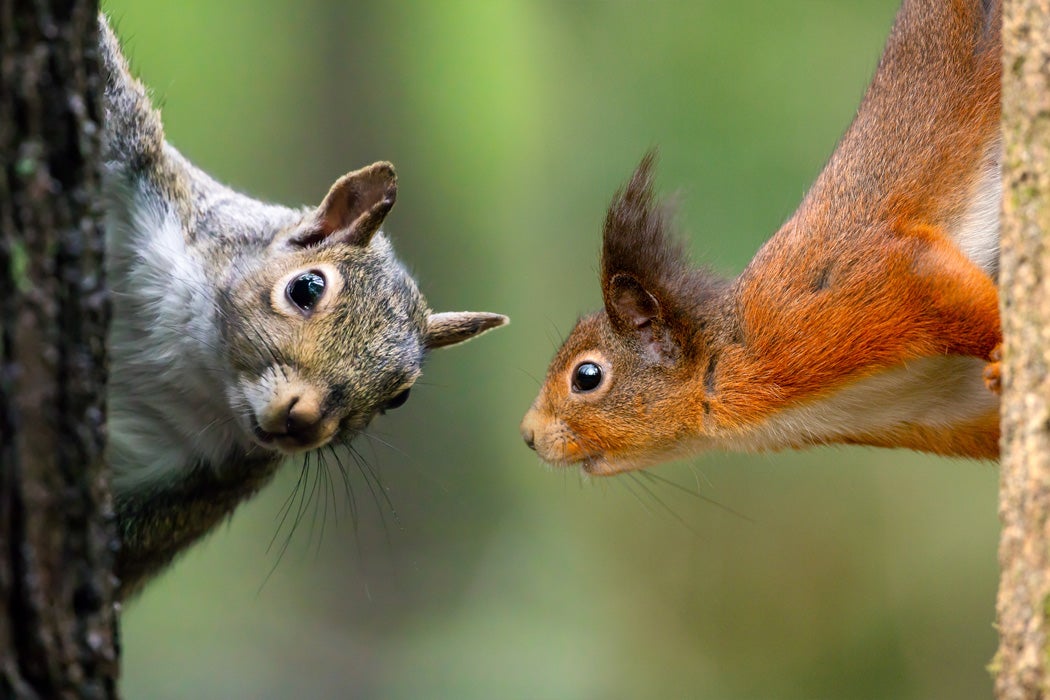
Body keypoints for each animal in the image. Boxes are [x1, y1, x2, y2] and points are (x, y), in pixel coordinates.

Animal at [97, 16, 503, 596]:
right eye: (306, 289)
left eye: (398, 398)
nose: (305, 419)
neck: (193, 359)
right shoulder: (149, 178)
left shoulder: (197, 486)